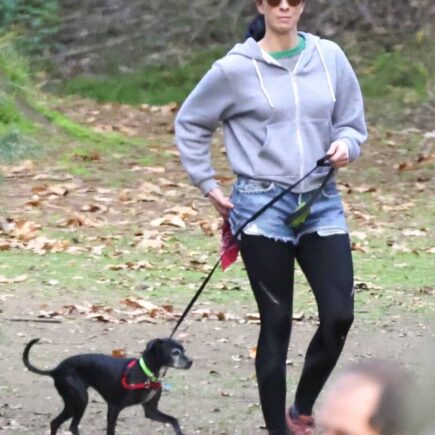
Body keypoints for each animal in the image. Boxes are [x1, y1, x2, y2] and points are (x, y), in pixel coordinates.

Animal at [23, 338, 192, 434]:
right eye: (175, 352)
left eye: (183, 350)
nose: (190, 362)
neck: (146, 372)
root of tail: (56, 370)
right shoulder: (114, 408)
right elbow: (111, 431)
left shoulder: (151, 411)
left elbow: (174, 421)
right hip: (80, 401)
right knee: (71, 426)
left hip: (73, 403)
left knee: (56, 423)